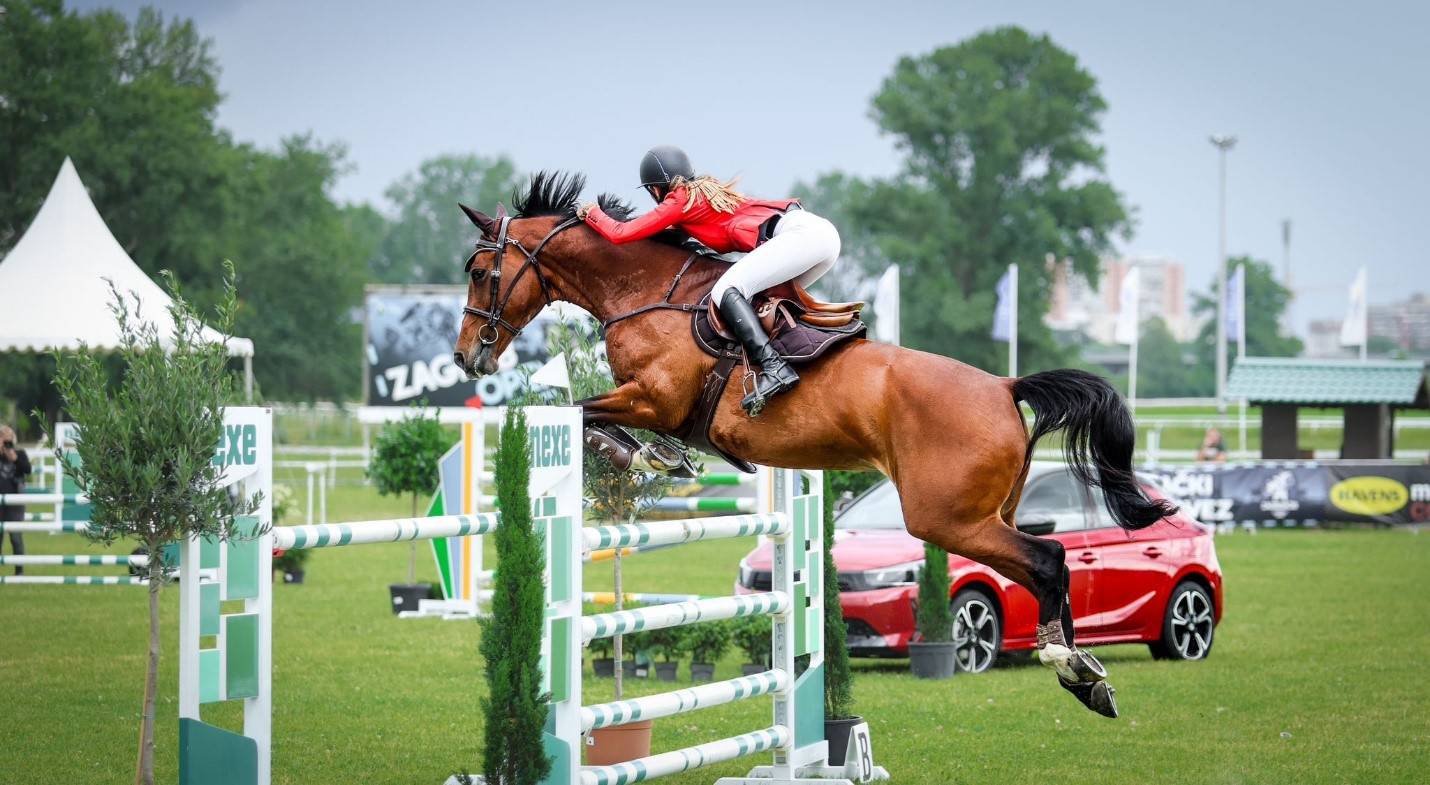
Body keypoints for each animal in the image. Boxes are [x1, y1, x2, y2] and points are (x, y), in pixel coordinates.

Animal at [454, 173, 1172, 714]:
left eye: (482, 270)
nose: (468, 357)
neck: (647, 294)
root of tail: (1004, 384)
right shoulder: (651, 401)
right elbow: (587, 414)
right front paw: (656, 455)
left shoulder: (657, 398)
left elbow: (580, 411)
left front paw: (647, 454)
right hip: (981, 514)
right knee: (1045, 563)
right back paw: (1086, 674)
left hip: (945, 516)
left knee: (1048, 558)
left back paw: (1069, 664)